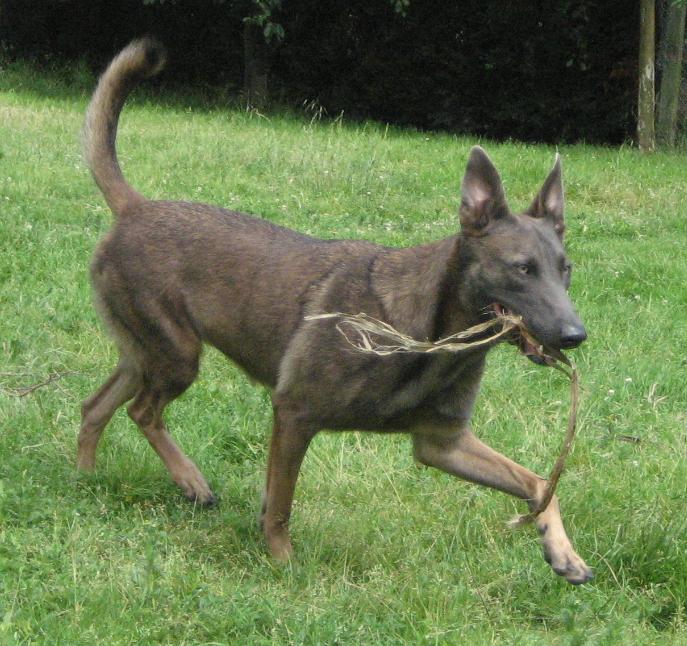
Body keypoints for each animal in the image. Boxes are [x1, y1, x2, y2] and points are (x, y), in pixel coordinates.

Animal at [76, 40, 592, 588]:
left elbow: (539, 482)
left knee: (96, 407)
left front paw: (563, 552)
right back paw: (190, 479)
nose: (575, 335)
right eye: (522, 269)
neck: (431, 338)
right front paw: (282, 563)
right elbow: (280, 505)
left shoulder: (442, 442)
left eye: (566, 270)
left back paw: (86, 478)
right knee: (141, 412)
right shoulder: (294, 412)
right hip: (177, 355)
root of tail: (135, 208)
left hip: (146, 353)